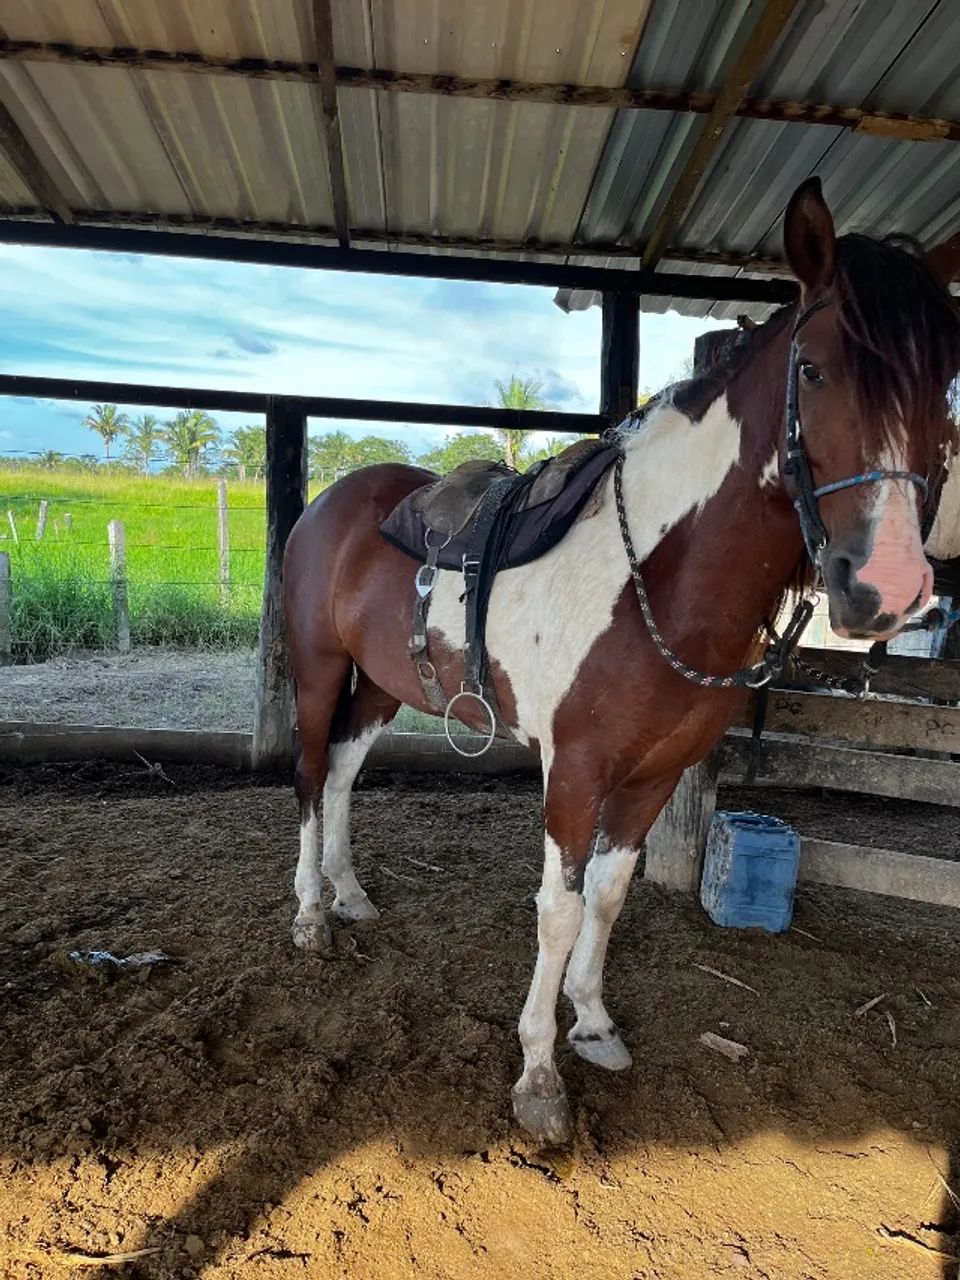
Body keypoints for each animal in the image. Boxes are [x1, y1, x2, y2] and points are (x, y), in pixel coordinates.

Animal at [283, 179, 960, 1145]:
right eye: (815, 370)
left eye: (942, 383)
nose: (887, 589)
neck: (659, 580)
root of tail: (331, 500)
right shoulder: (576, 773)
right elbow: (559, 908)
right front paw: (537, 1076)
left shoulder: (652, 777)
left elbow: (607, 896)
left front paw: (594, 1025)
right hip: (315, 671)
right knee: (309, 776)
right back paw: (310, 915)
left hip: (380, 685)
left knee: (341, 774)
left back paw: (350, 895)